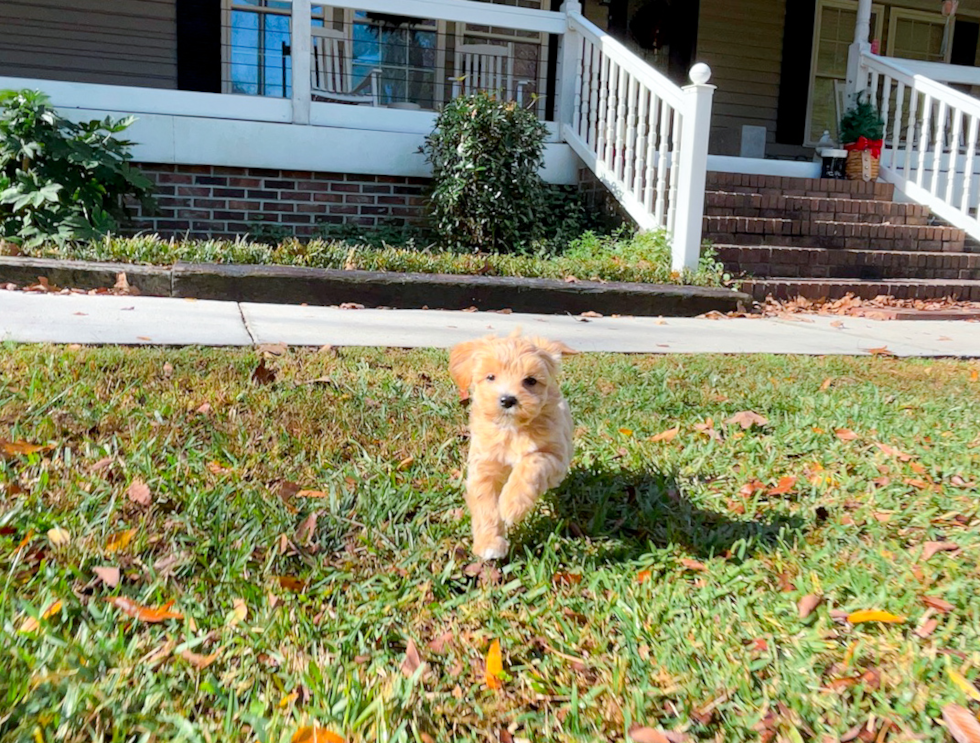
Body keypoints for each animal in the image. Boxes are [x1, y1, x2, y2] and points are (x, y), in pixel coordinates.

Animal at [450, 332, 580, 560]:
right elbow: (484, 501)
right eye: (490, 377)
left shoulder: (555, 455)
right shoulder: (484, 465)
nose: (508, 399)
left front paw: (512, 504)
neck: (512, 429)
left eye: (530, 380)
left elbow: (531, 462)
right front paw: (489, 543)